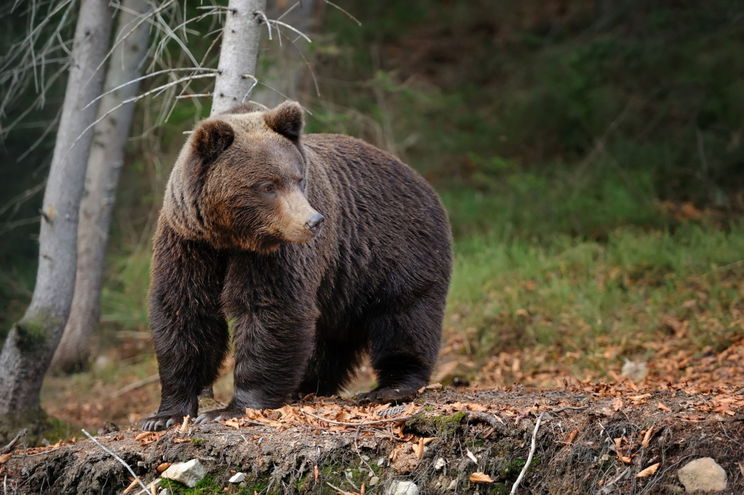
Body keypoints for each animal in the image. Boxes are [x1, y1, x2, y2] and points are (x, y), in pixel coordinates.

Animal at [141, 100, 454, 430]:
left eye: (298, 179)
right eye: (267, 185)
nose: (313, 221)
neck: (232, 237)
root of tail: (421, 181)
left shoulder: (277, 254)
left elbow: (272, 309)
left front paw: (232, 408)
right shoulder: (189, 242)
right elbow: (184, 310)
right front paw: (165, 414)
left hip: (397, 251)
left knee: (405, 317)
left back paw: (391, 386)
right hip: (342, 281)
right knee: (328, 339)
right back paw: (307, 385)